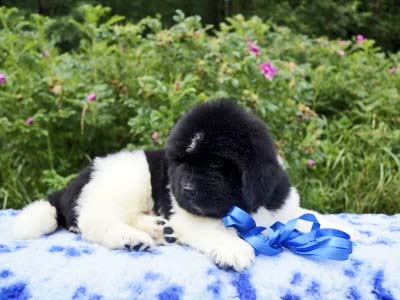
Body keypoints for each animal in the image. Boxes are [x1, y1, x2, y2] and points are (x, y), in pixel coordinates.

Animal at [13, 99, 356, 270]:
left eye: (216, 165)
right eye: (179, 162)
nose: (186, 190)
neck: (245, 208)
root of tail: (75, 181)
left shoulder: (280, 203)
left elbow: (301, 216)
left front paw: (335, 225)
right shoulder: (188, 215)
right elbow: (214, 229)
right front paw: (233, 248)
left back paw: (157, 229)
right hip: (125, 179)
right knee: (93, 221)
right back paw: (132, 238)